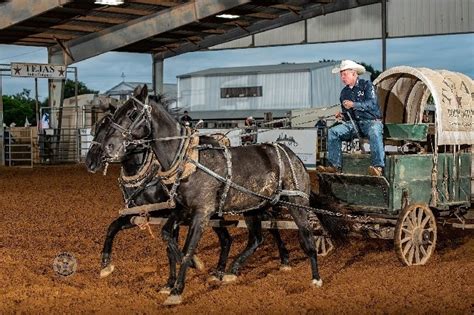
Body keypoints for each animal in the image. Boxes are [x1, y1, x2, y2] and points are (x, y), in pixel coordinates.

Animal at [92, 86, 322, 306]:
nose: (108, 148)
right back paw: (231, 271)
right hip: (254, 208)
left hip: (296, 203)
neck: (188, 161)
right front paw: (190, 269)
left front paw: (177, 289)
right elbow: (167, 236)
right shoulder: (180, 210)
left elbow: (187, 249)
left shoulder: (201, 213)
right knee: (258, 238)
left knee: (307, 235)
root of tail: (290, 154)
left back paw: (315, 277)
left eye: (132, 113)